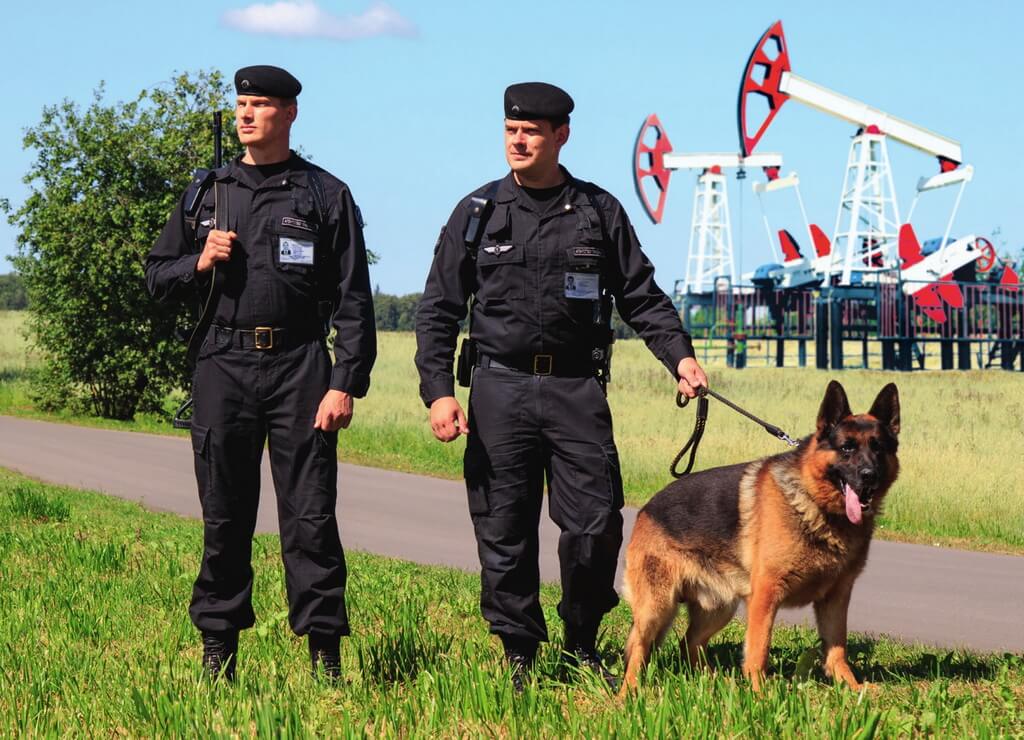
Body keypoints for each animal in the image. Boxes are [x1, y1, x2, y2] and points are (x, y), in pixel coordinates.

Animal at [614, 382, 897, 695]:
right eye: (847, 448)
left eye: (878, 448)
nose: (869, 475)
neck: (814, 503)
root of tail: (645, 509)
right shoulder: (765, 595)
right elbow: (759, 649)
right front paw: (760, 693)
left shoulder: (836, 598)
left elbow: (837, 649)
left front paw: (852, 687)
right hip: (657, 606)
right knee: (639, 649)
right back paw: (629, 692)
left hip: (719, 608)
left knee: (689, 643)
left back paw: (716, 682)